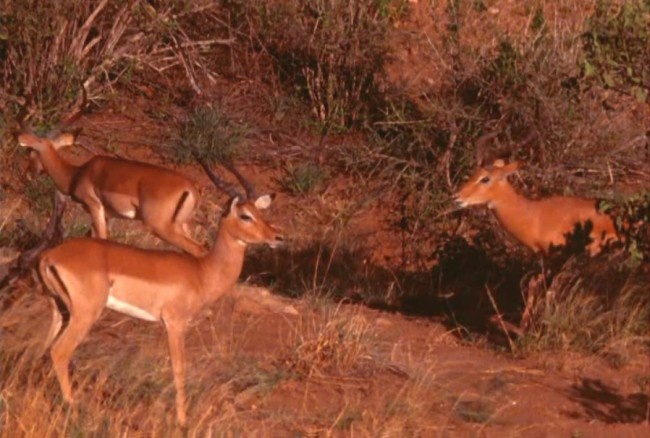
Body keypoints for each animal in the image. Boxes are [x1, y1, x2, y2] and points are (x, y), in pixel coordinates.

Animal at [17, 131, 205, 256]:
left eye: (31, 152)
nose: (27, 174)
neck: (77, 174)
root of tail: (192, 187)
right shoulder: (107, 215)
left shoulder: (94, 206)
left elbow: (102, 239)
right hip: (183, 225)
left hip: (160, 227)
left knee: (197, 249)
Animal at [38, 163, 280, 426]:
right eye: (245, 215)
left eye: (260, 212)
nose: (277, 237)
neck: (202, 272)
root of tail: (49, 257)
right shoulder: (175, 324)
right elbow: (179, 369)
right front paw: (182, 421)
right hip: (85, 314)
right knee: (59, 352)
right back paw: (73, 410)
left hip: (60, 311)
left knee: (44, 348)